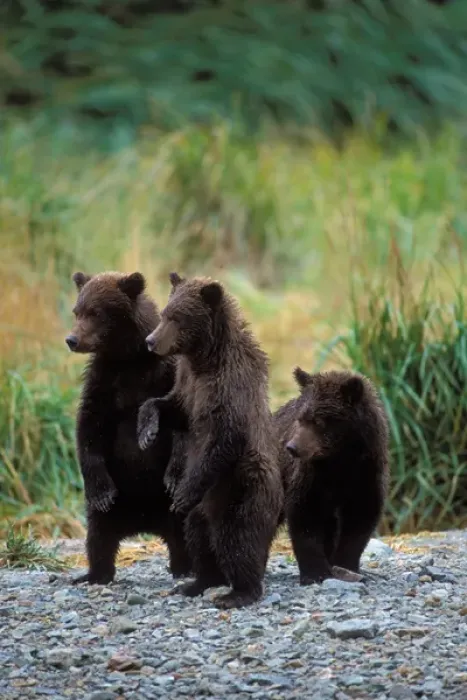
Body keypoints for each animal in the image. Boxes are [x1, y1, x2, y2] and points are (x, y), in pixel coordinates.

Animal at [65, 270, 192, 585]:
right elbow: (89, 428)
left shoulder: (165, 373)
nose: (71, 339)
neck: (128, 359)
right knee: (98, 535)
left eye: (95, 312)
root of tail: (143, 523)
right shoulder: (102, 384)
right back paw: (94, 574)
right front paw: (101, 492)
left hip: (170, 507)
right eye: (77, 310)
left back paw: (184, 567)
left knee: (182, 530)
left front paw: (172, 474)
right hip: (113, 508)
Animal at [137, 273, 284, 609]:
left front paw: (182, 493)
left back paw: (237, 592)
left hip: (240, 490)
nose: (151, 341)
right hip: (205, 510)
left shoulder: (228, 386)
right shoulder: (188, 382)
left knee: (238, 539)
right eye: (164, 313)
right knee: (198, 536)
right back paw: (196, 583)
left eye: (177, 317)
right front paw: (148, 432)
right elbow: (171, 407)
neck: (205, 357)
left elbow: (223, 438)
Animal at [274, 367, 389, 585]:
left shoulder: (365, 474)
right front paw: (315, 573)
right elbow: (305, 517)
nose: (292, 447)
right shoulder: (311, 477)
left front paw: (344, 565)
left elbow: (359, 519)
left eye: (318, 420)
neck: (339, 459)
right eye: (300, 418)